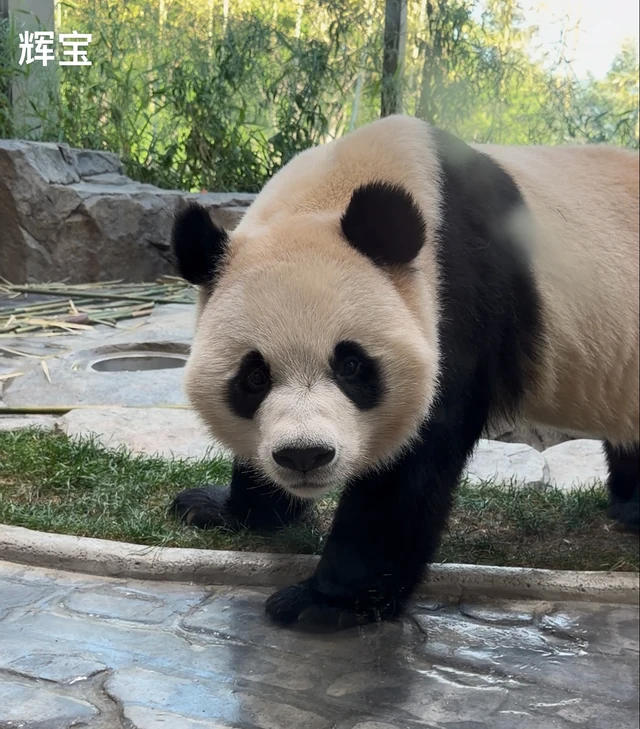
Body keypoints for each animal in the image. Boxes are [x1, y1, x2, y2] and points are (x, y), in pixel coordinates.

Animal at [169, 114, 639, 627]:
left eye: (352, 365)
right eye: (255, 377)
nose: (305, 456)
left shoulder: (459, 297)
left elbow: (412, 462)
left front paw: (323, 603)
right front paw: (219, 508)